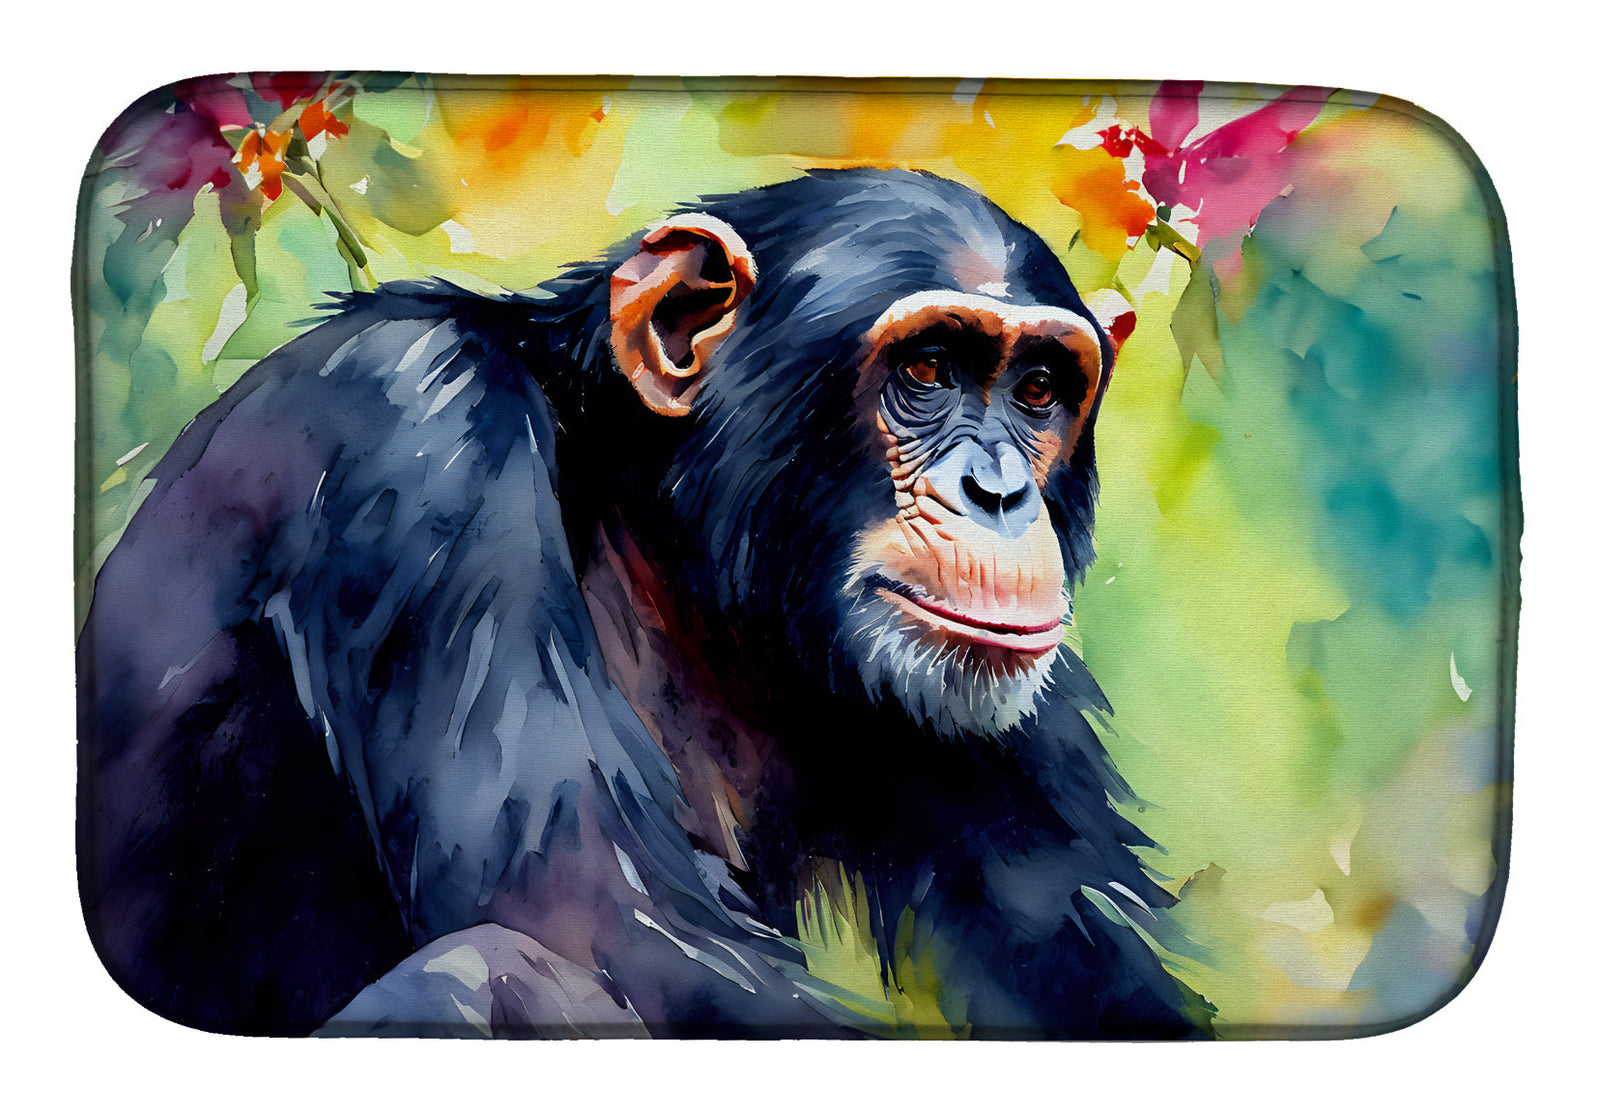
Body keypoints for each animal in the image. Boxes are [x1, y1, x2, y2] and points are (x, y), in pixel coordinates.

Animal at [78, 167, 1209, 1038]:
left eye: (1038, 391)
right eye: (927, 369)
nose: (1000, 492)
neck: (654, 527)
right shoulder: (415, 428)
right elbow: (598, 919)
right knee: (485, 972)